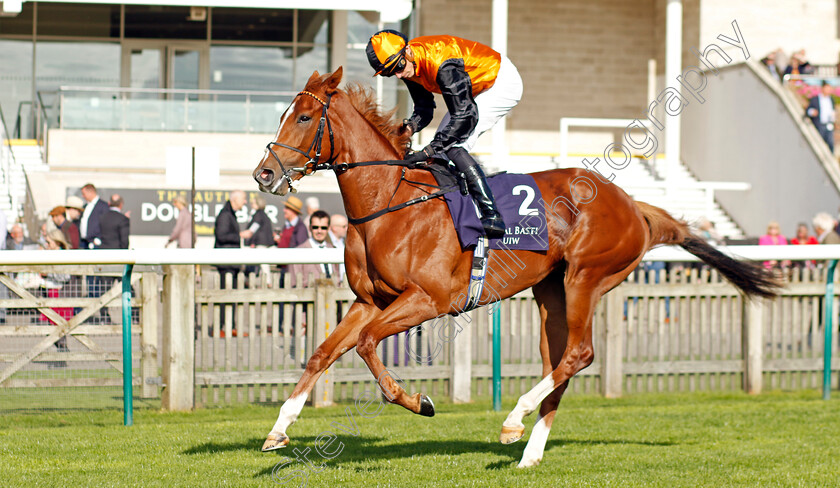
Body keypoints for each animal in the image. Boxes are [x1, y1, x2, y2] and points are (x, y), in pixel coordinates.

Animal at [251, 66, 780, 468]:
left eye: (303, 117)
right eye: (281, 115)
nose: (264, 174)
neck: (390, 203)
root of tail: (635, 205)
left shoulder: (428, 300)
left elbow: (364, 344)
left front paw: (418, 401)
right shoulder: (370, 301)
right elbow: (322, 353)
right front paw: (278, 430)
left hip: (586, 277)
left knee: (580, 355)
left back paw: (514, 416)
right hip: (551, 291)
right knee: (558, 364)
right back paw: (527, 449)